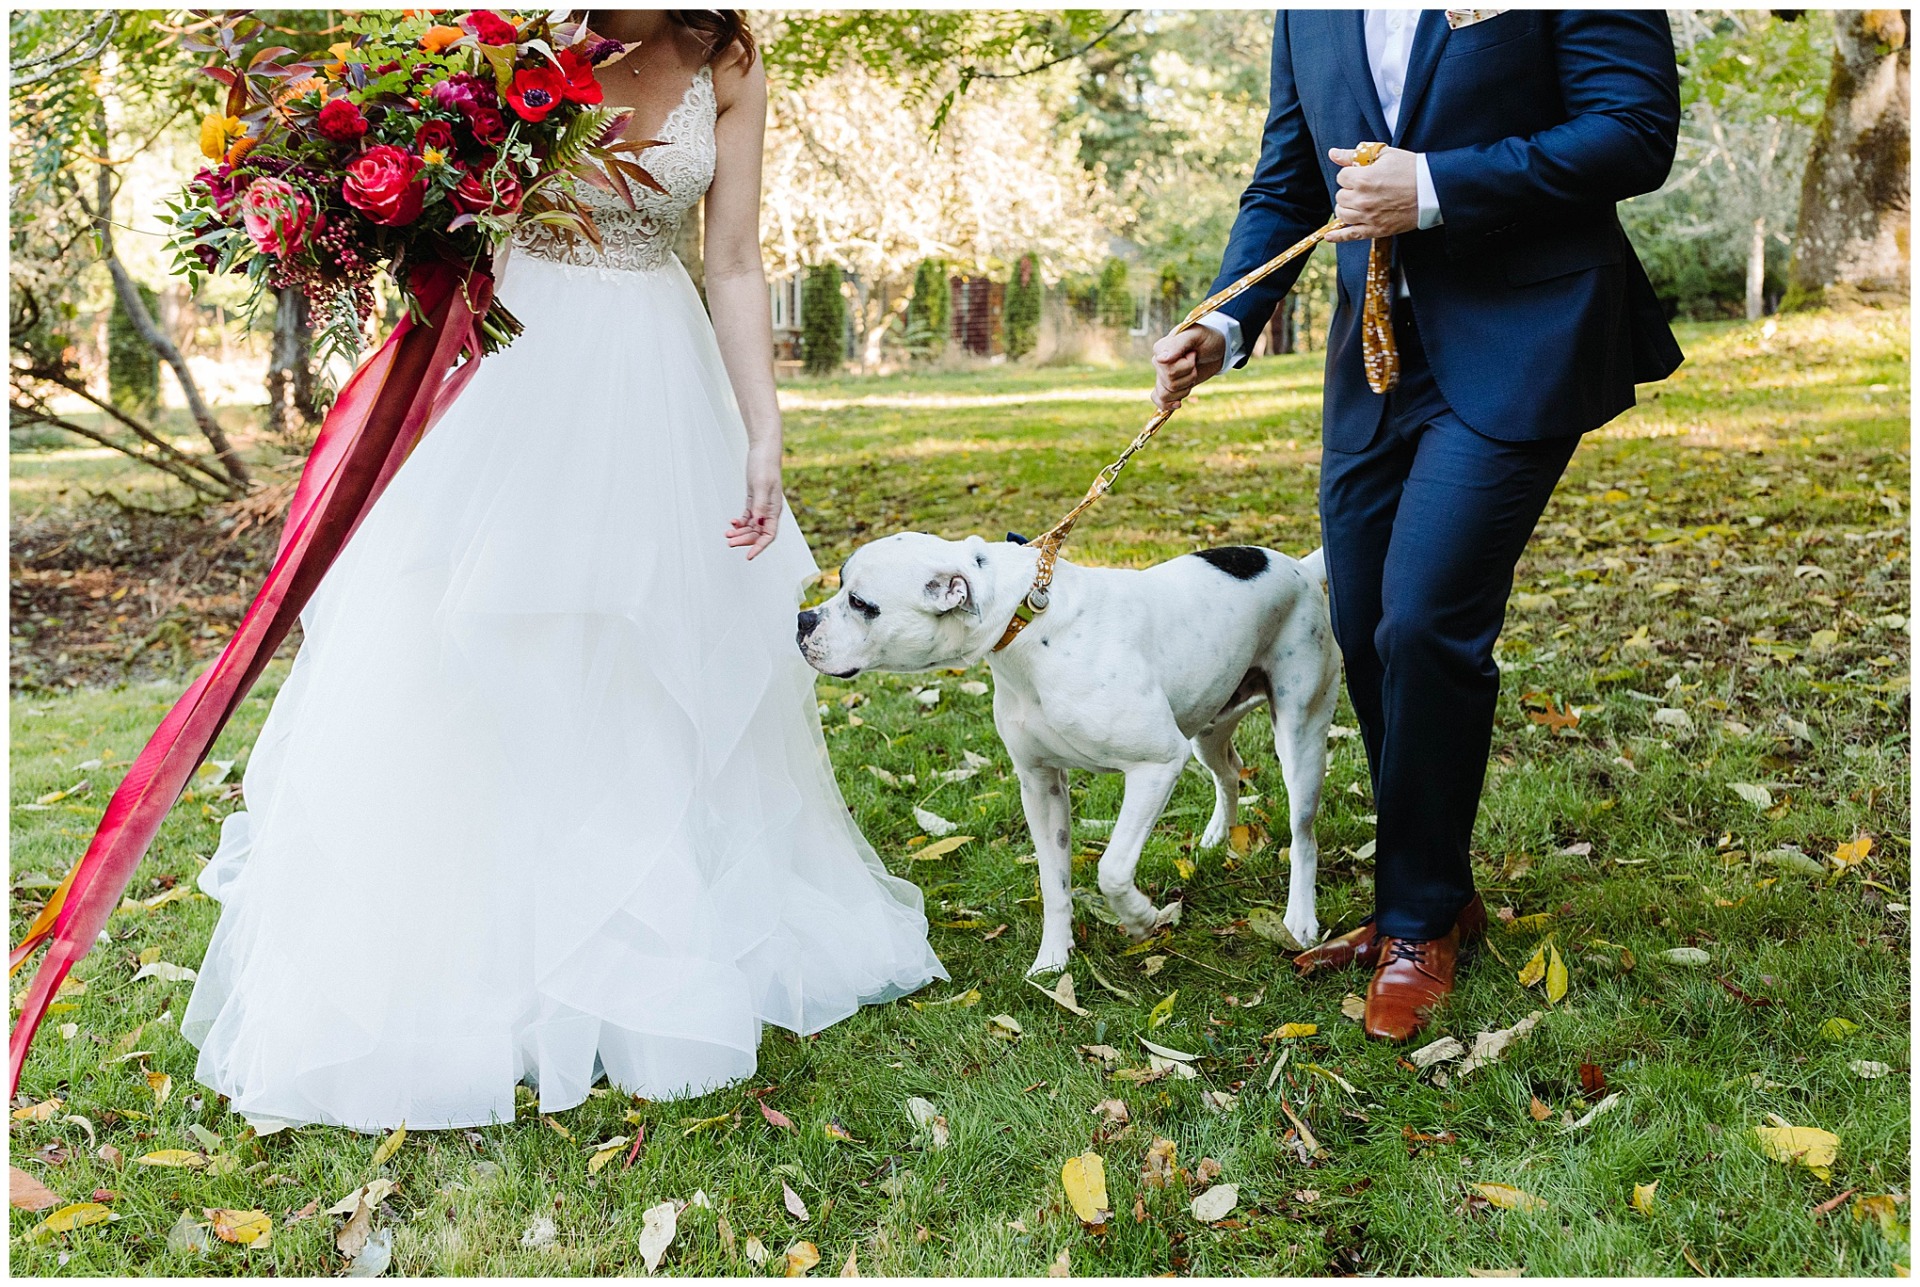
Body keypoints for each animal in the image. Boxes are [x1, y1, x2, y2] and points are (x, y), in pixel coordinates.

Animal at [794, 534, 1336, 979]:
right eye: (839, 583)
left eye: (861, 603)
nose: (801, 619)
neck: (1026, 622)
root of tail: (1299, 567)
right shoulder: (1040, 784)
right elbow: (1053, 883)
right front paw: (1053, 960)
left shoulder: (1157, 765)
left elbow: (1112, 869)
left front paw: (1142, 919)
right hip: (1208, 726)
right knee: (1230, 775)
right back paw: (1218, 836)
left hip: (1300, 736)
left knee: (1303, 833)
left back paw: (1299, 919)